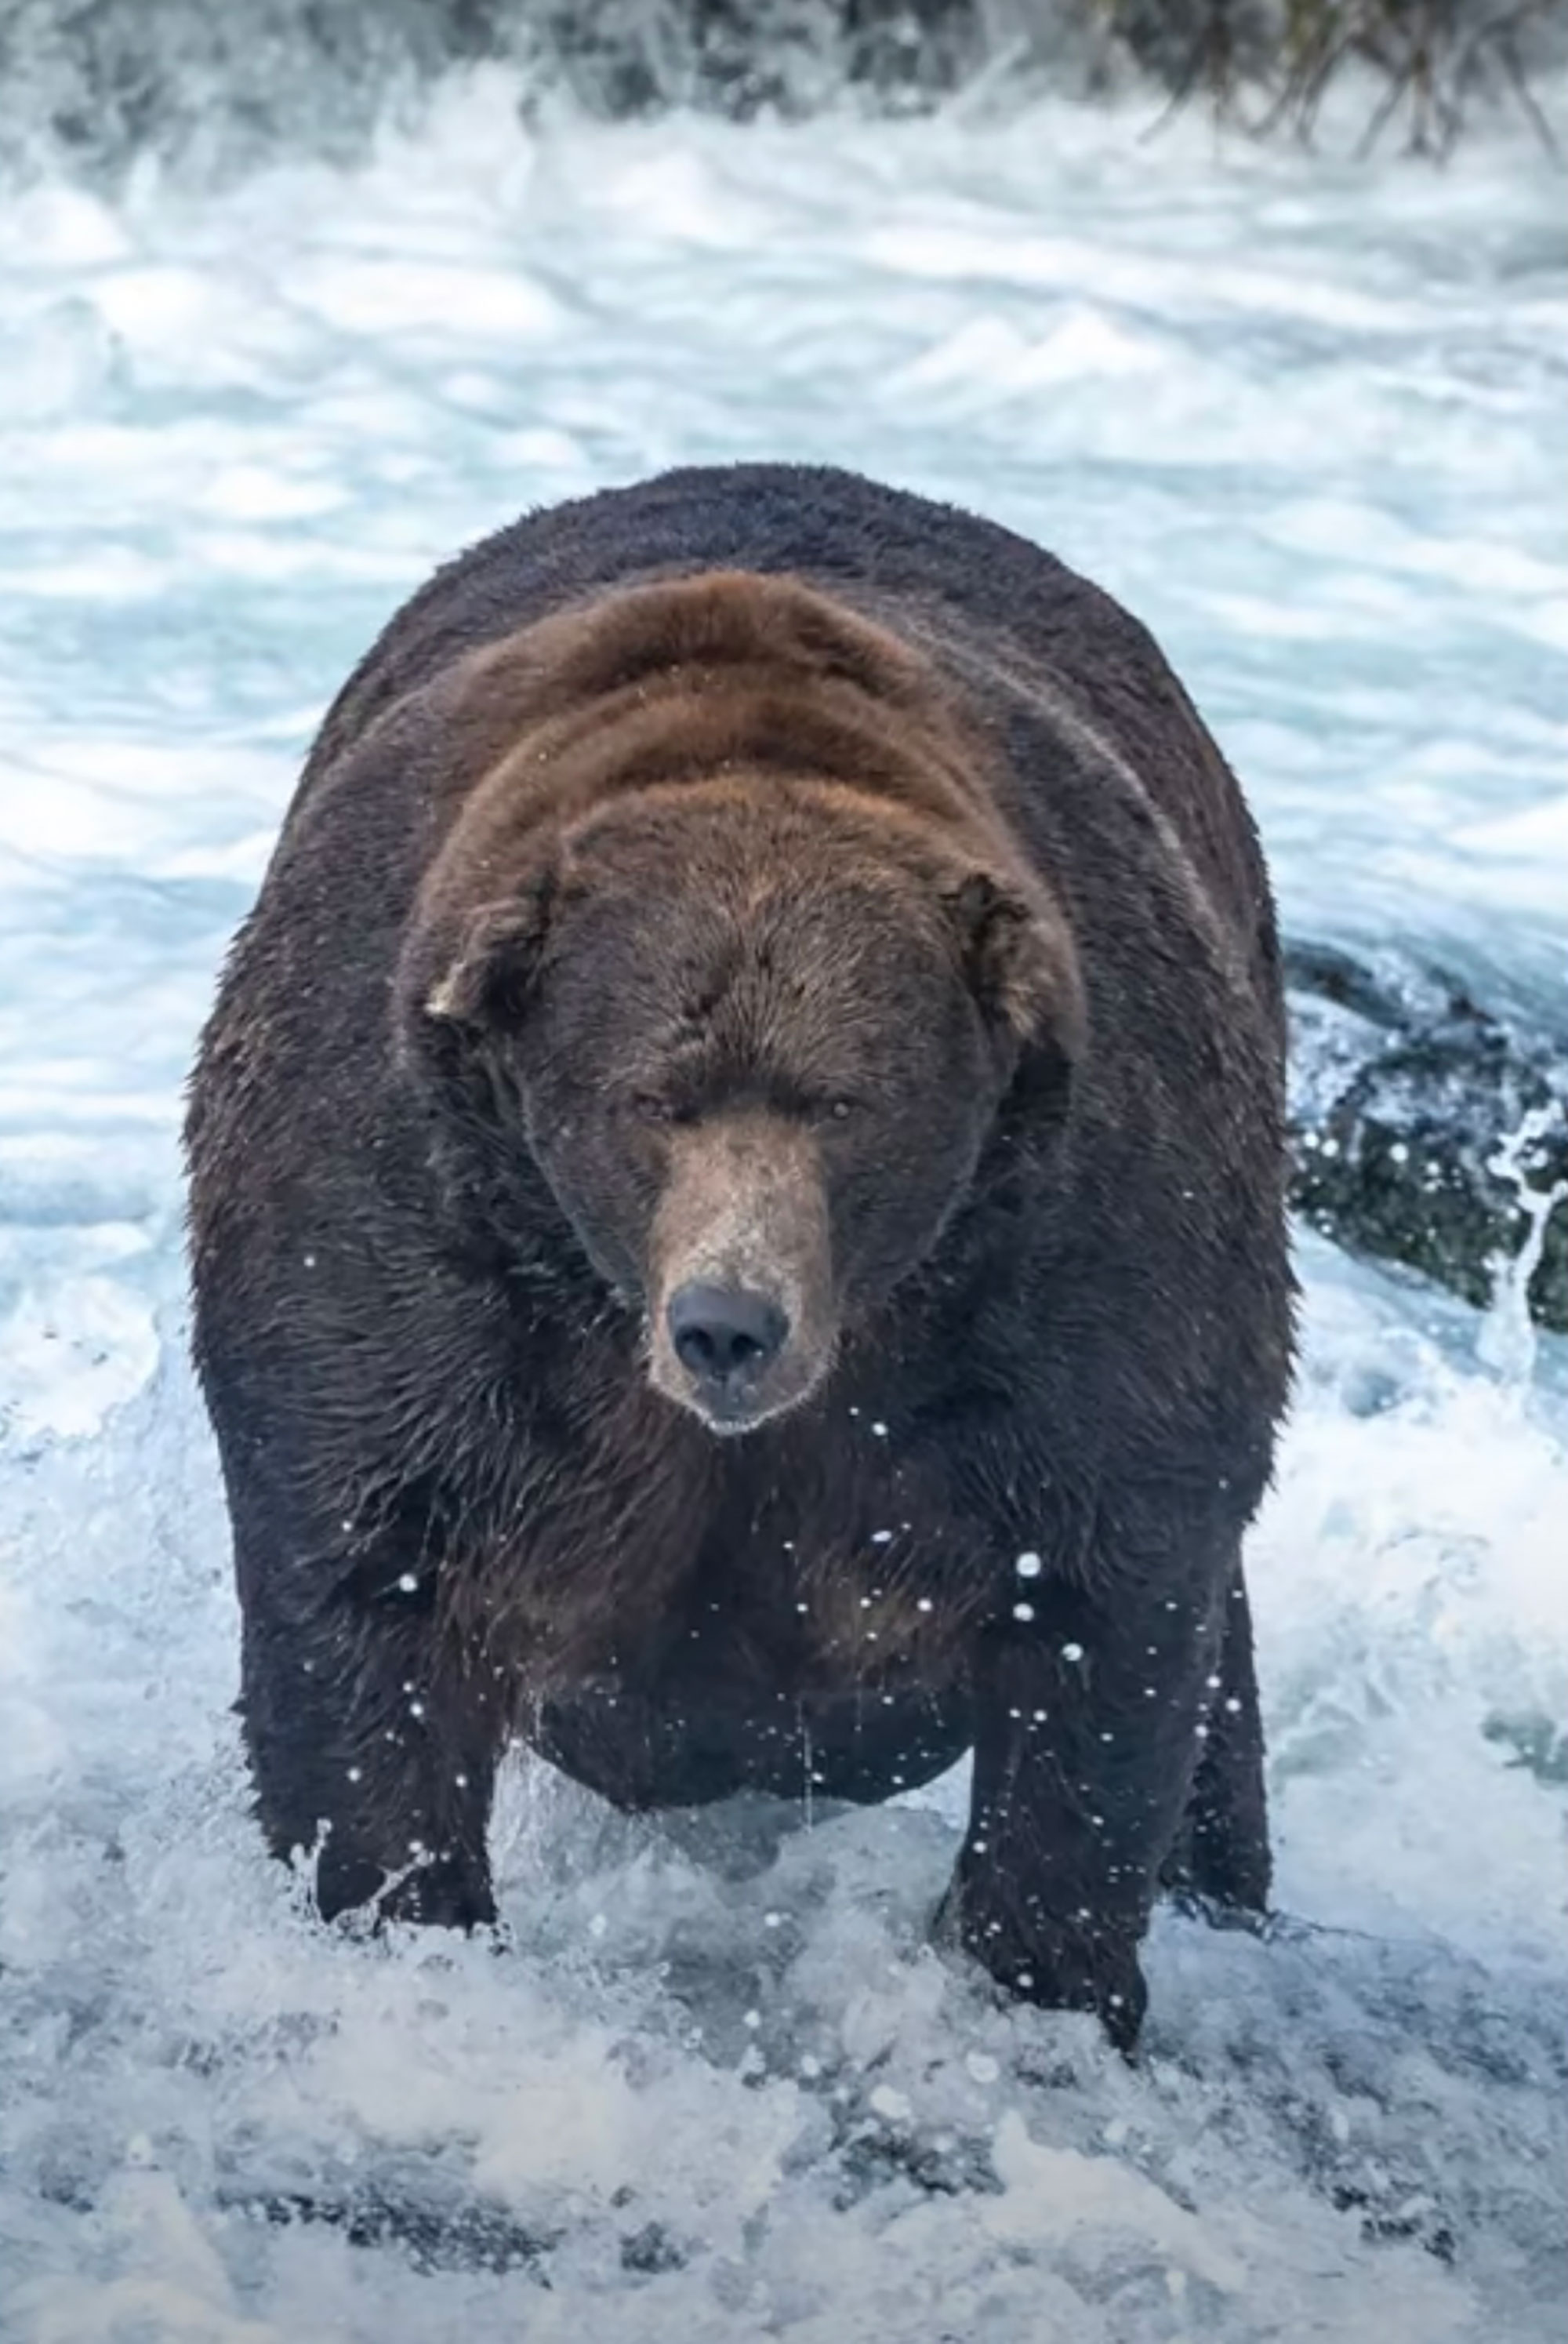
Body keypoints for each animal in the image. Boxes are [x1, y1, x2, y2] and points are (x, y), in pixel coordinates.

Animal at [186, 466, 1284, 2044]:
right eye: (652, 1097)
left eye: (845, 1101)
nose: (728, 1322)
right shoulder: (405, 1215)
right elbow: (370, 1578)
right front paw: (400, 1911)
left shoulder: (1083, 1234)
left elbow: (1103, 1608)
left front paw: (1042, 1974)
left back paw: (1222, 1874)